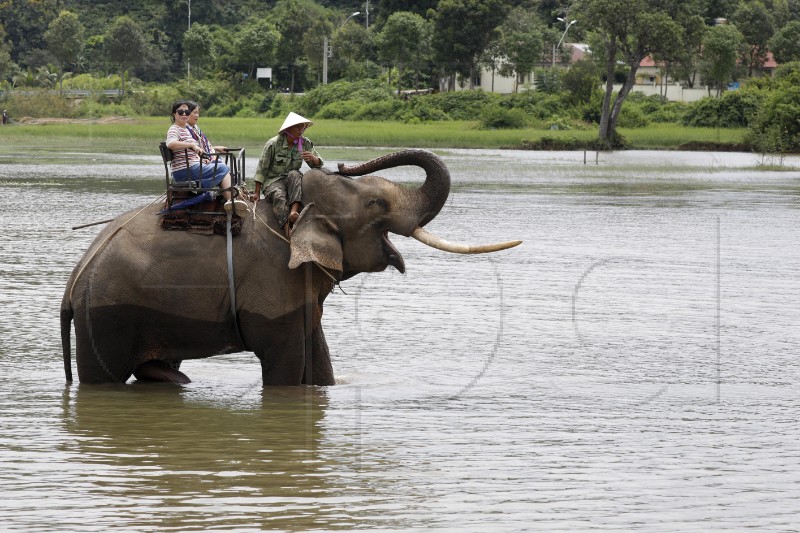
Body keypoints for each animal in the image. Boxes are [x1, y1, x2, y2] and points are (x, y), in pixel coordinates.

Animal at [61, 148, 520, 384]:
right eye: (375, 204)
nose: (342, 163)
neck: (291, 213)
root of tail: (75, 280)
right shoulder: (274, 281)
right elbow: (286, 365)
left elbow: (317, 359)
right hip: (107, 317)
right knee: (105, 380)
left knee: (158, 374)